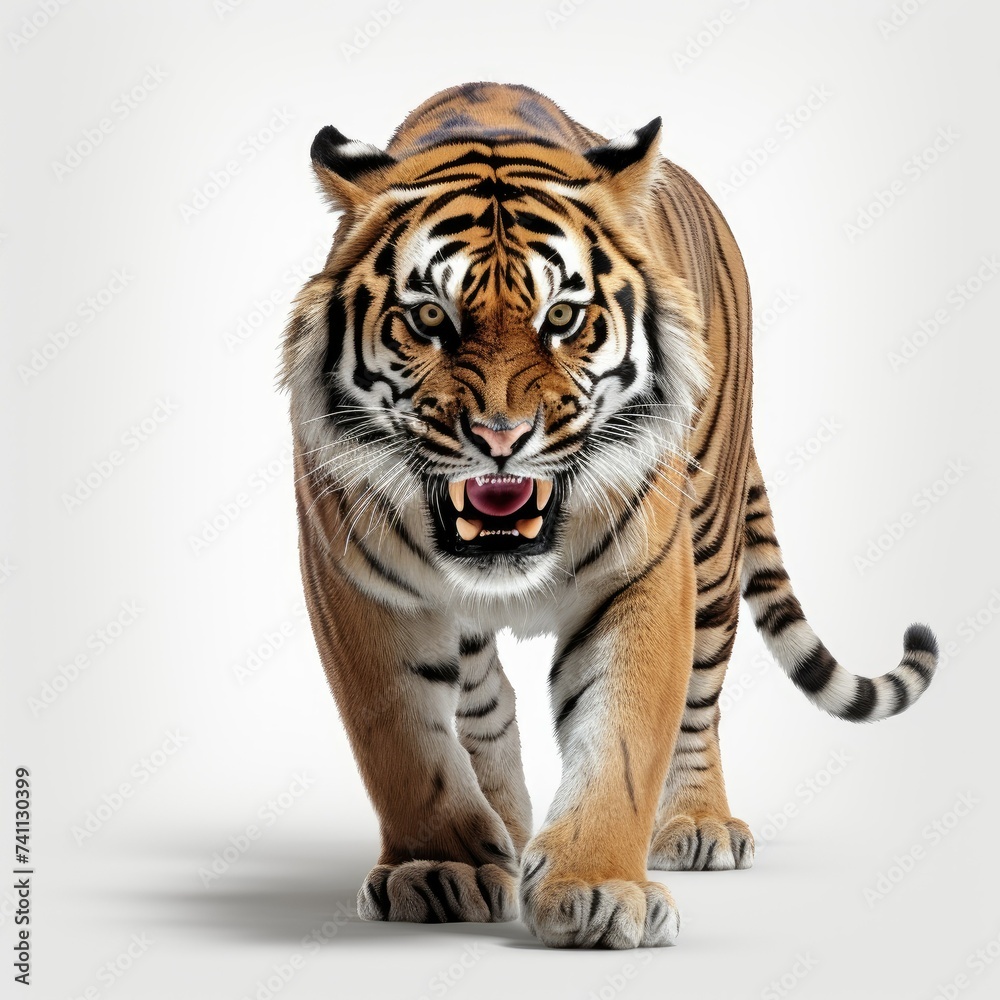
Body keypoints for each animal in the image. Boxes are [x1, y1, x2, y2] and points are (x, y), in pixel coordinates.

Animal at [281, 81, 938, 949]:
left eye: (561, 319)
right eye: (430, 320)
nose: (501, 437)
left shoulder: (646, 569)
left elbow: (625, 732)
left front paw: (595, 889)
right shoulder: (353, 577)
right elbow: (400, 740)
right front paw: (440, 867)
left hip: (714, 542)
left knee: (701, 695)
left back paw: (699, 825)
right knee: (482, 694)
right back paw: (502, 825)